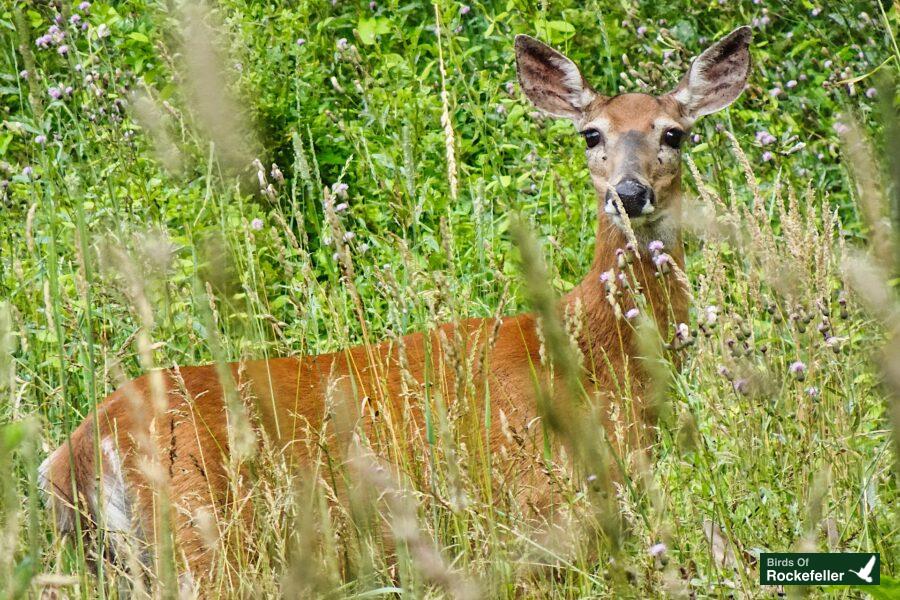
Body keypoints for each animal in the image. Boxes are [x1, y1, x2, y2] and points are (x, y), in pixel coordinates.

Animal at [38, 28, 748, 584]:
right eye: (590, 133)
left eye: (675, 134)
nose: (628, 193)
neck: (595, 358)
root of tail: (82, 447)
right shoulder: (536, 513)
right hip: (208, 539)